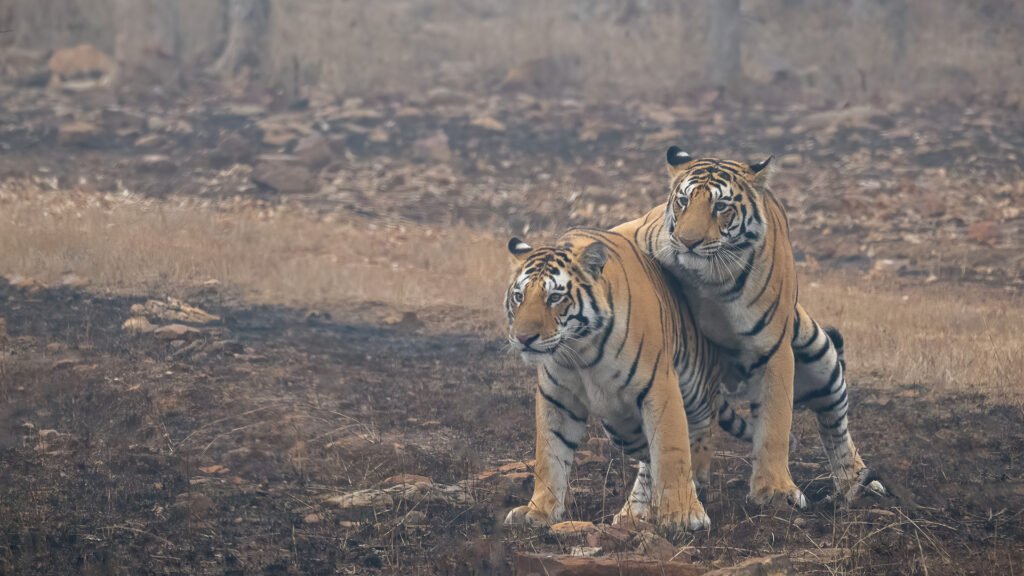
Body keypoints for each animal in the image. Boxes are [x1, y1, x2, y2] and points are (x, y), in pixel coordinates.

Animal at [501, 226, 754, 532]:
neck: (580, 352)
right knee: (647, 458)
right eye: (519, 296)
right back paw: (635, 512)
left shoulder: (660, 388)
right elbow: (550, 455)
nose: (523, 338)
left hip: (696, 389)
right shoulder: (556, 398)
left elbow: (671, 450)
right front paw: (539, 511)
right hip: (620, 425)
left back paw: (697, 483)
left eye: (555, 298)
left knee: (699, 433)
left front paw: (683, 515)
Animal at [620, 146, 885, 507]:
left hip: (821, 358)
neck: (708, 278)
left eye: (720, 206)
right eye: (683, 201)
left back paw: (856, 483)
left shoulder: (773, 350)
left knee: (835, 426)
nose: (687, 241)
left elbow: (774, 424)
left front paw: (775, 490)